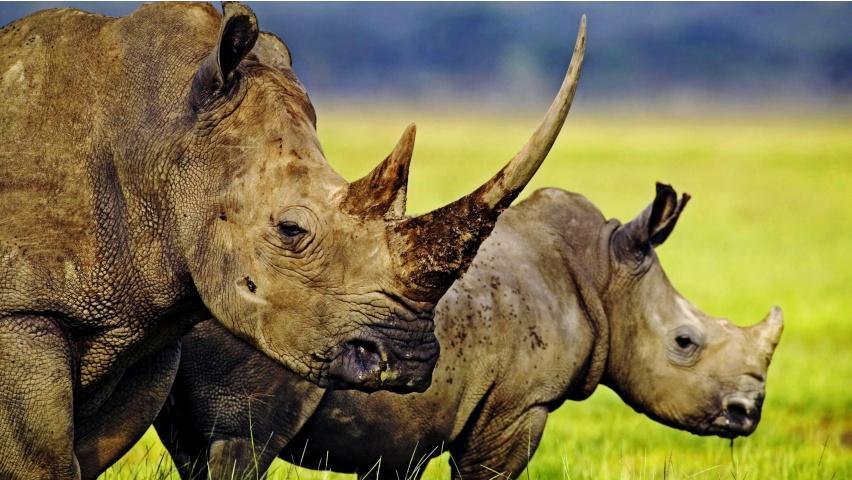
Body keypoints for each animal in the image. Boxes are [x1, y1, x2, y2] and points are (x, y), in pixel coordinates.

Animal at [0, 3, 585, 478]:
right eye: (291, 229)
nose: (409, 361)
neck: (160, 139)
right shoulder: (22, 313)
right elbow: (43, 462)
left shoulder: (143, 326)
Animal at [156, 184, 784, 480]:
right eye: (685, 342)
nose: (747, 413)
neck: (605, 274)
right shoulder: (520, 404)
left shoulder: (404, 429)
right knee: (243, 445)